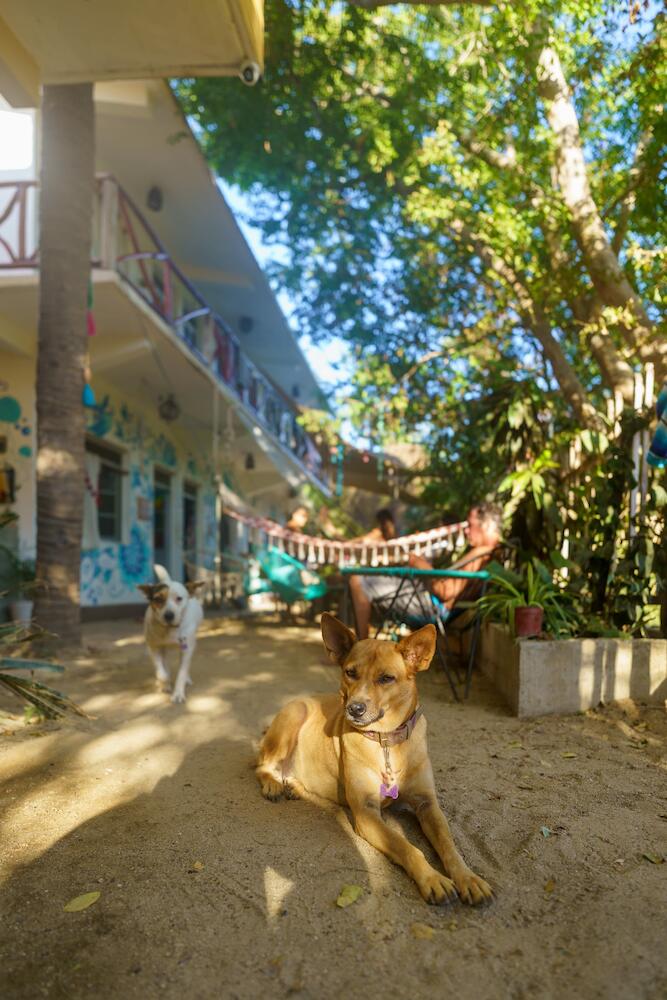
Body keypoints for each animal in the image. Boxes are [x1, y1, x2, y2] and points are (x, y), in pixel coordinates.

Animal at [138, 564, 204, 704]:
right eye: (158, 599)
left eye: (179, 598)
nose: (169, 615)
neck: (170, 629)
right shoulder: (154, 647)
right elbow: (161, 671)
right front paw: (164, 682)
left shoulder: (186, 649)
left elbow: (182, 672)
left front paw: (178, 694)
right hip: (163, 649)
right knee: (165, 663)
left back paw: (186, 679)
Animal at [258, 608, 494, 908]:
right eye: (350, 672)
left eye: (386, 678)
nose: (354, 708)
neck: (386, 742)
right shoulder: (366, 812)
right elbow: (407, 846)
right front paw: (432, 878)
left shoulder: (427, 803)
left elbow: (449, 844)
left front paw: (468, 878)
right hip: (293, 715)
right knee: (262, 764)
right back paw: (273, 784)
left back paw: (294, 786)